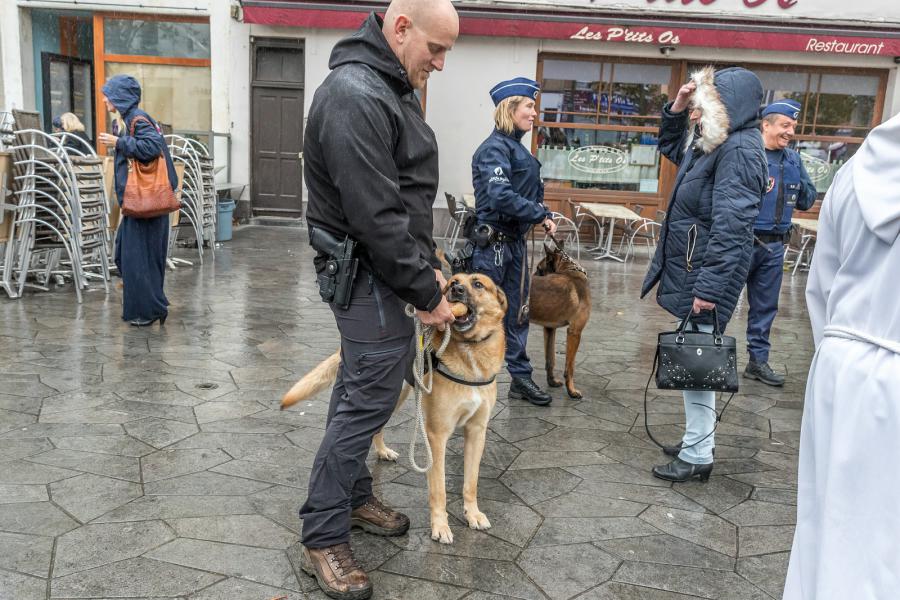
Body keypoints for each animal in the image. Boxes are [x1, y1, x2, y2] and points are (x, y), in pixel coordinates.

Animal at [282, 272, 506, 544]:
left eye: (477, 284)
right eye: (453, 282)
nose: (455, 289)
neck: (470, 349)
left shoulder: (477, 432)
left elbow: (471, 483)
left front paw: (472, 514)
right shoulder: (437, 436)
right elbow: (439, 489)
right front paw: (440, 526)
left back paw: (382, 453)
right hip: (389, 394)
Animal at [528, 239, 592, 398]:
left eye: (538, 268)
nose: (532, 275)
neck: (570, 270)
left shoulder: (550, 329)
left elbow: (550, 359)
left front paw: (551, 381)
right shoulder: (574, 332)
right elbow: (570, 367)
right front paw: (572, 391)